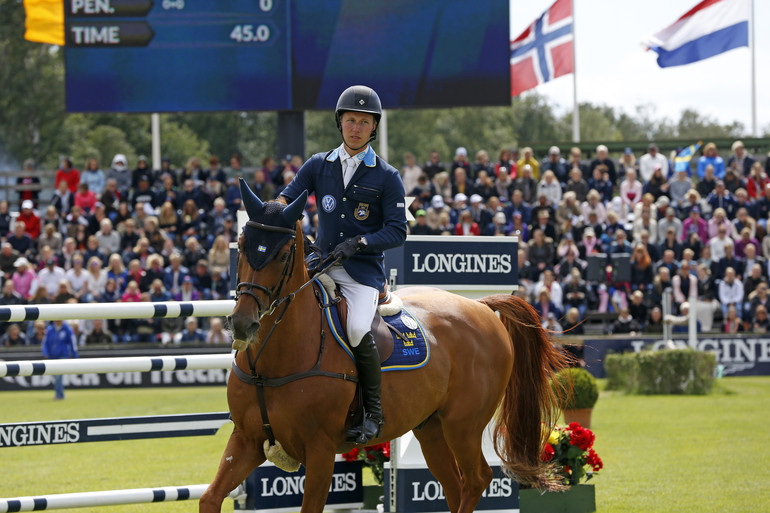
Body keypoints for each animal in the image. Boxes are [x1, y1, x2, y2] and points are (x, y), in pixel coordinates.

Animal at [200, 182, 564, 510]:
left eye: (283, 254)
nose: (243, 323)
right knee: (455, 486)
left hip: (463, 425)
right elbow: (210, 498)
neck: (274, 359)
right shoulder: (245, 440)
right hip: (430, 428)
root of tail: (482, 307)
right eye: (242, 244)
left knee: (476, 480)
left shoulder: (320, 451)